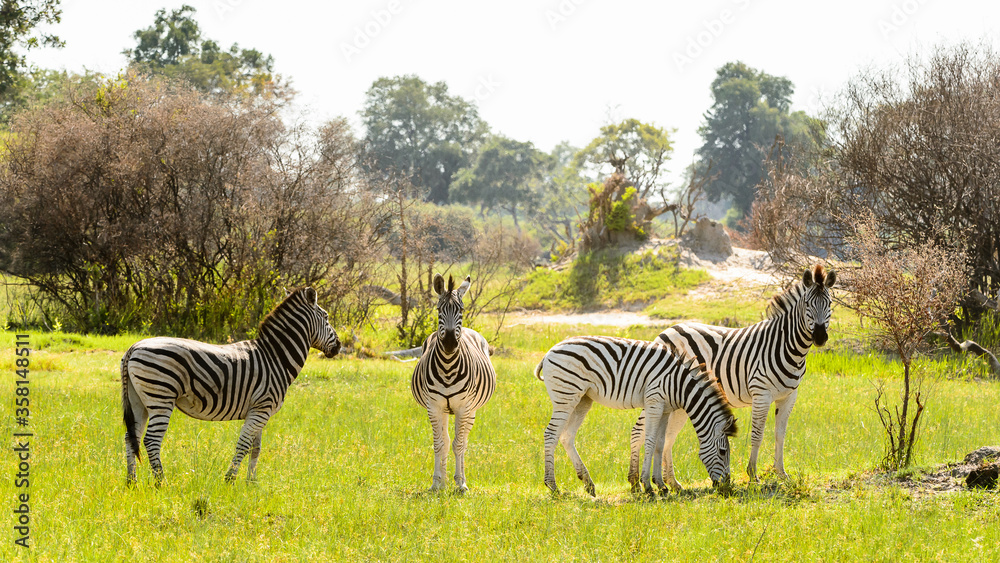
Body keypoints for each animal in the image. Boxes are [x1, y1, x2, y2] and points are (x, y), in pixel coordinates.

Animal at [121, 287, 340, 484]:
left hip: (138, 400)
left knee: (131, 437)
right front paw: (230, 480)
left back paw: (131, 482)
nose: (339, 346)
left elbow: (255, 448)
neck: (276, 358)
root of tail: (134, 347)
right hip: (161, 397)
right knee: (151, 440)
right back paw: (161, 483)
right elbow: (243, 445)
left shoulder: (260, 410)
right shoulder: (262, 408)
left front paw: (251, 483)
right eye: (327, 317)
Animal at [411, 274, 496, 492]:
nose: (450, 343)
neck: (448, 367)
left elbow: (458, 444)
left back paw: (460, 478)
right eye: (439, 309)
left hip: (471, 410)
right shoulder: (434, 407)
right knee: (447, 440)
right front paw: (436, 483)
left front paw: (461, 484)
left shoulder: (463, 407)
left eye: (461, 310)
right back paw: (443, 481)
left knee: (463, 441)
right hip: (443, 410)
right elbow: (440, 444)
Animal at [536, 335, 737, 496]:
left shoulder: (665, 409)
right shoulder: (654, 402)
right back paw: (553, 486)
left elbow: (660, 443)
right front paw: (647, 486)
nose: (727, 487)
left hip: (582, 399)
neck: (678, 384)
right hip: (566, 397)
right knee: (551, 435)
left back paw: (588, 483)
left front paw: (660, 485)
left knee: (567, 436)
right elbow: (649, 441)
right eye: (723, 451)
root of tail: (549, 352)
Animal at [628, 264, 836, 490]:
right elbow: (757, 434)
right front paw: (753, 474)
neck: (787, 347)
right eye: (807, 304)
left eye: (830, 304)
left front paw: (781, 473)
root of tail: (667, 330)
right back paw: (635, 481)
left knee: (668, 437)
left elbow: (780, 434)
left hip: (680, 399)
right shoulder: (761, 394)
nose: (820, 337)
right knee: (639, 431)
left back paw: (672, 483)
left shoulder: (789, 396)